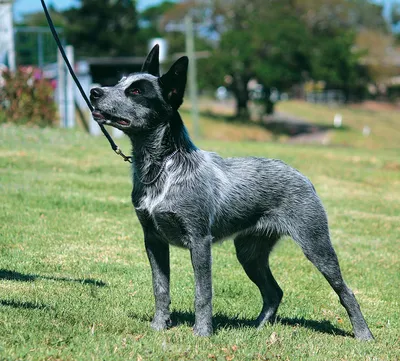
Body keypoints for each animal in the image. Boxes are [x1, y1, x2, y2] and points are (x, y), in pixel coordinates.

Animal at [89, 45, 374, 340]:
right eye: (120, 81)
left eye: (136, 91)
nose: (94, 91)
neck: (163, 167)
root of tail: (303, 177)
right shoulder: (153, 241)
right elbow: (160, 288)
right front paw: (159, 326)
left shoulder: (199, 241)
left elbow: (203, 293)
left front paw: (202, 333)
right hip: (249, 254)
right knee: (274, 292)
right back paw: (256, 329)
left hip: (316, 246)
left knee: (345, 292)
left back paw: (364, 335)